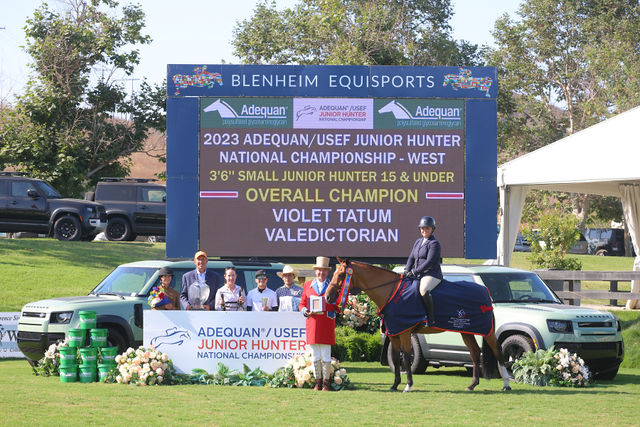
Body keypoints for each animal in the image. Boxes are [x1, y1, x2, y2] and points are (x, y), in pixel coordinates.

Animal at [328, 260, 512, 392]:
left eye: (341, 275)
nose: (329, 297)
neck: (392, 292)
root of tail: (486, 292)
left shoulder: (404, 332)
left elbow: (406, 356)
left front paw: (408, 385)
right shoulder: (394, 333)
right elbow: (396, 358)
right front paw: (394, 385)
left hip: (487, 332)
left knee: (498, 351)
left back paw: (506, 384)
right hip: (466, 331)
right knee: (474, 353)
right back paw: (472, 385)